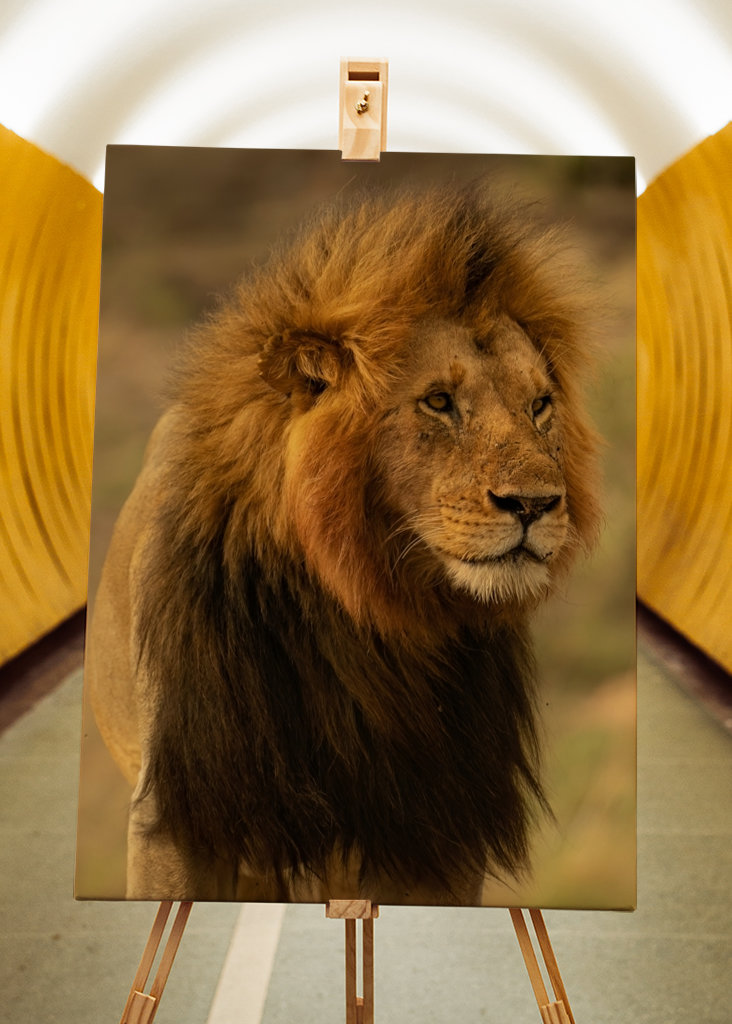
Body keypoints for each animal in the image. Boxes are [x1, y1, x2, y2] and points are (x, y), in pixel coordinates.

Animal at [87, 182, 602, 905]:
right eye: (438, 401)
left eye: (539, 406)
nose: (535, 504)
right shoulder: (183, 812)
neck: (356, 612)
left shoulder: (438, 832)